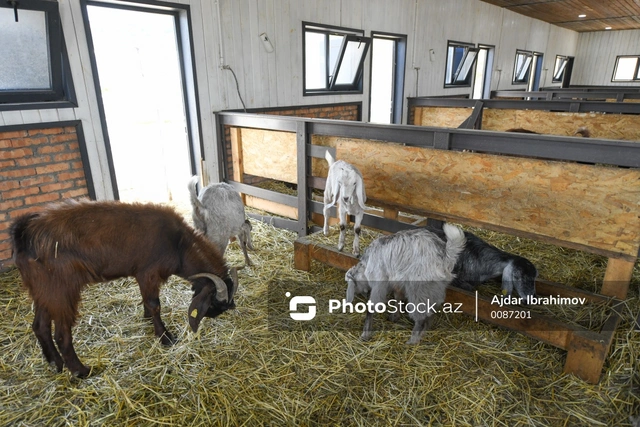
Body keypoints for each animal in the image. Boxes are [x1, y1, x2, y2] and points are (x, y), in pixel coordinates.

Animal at [10, 201, 238, 378]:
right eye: (216, 302)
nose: (217, 313)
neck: (179, 244)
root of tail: (24, 234)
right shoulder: (148, 272)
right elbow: (154, 304)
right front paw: (165, 337)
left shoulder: (141, 275)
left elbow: (146, 300)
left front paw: (147, 319)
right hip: (61, 291)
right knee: (61, 334)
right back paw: (80, 371)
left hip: (43, 291)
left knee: (39, 326)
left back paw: (55, 364)